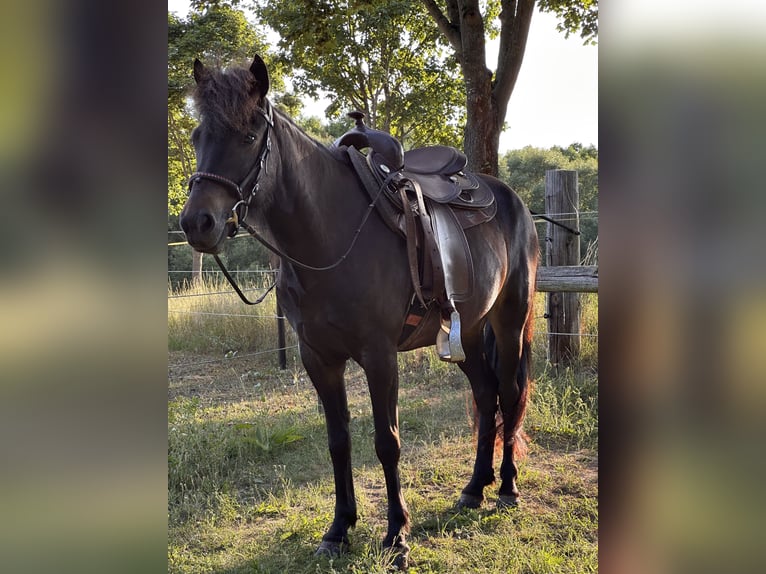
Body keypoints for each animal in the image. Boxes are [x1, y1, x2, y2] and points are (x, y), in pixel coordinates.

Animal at [180, 55, 540, 572]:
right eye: (196, 136)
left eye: (248, 136)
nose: (197, 223)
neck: (329, 236)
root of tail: (512, 200)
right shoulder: (318, 359)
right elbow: (338, 441)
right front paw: (338, 530)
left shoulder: (379, 356)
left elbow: (387, 442)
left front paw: (397, 536)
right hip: (468, 331)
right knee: (486, 393)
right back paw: (474, 488)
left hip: (510, 320)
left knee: (509, 394)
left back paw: (508, 487)